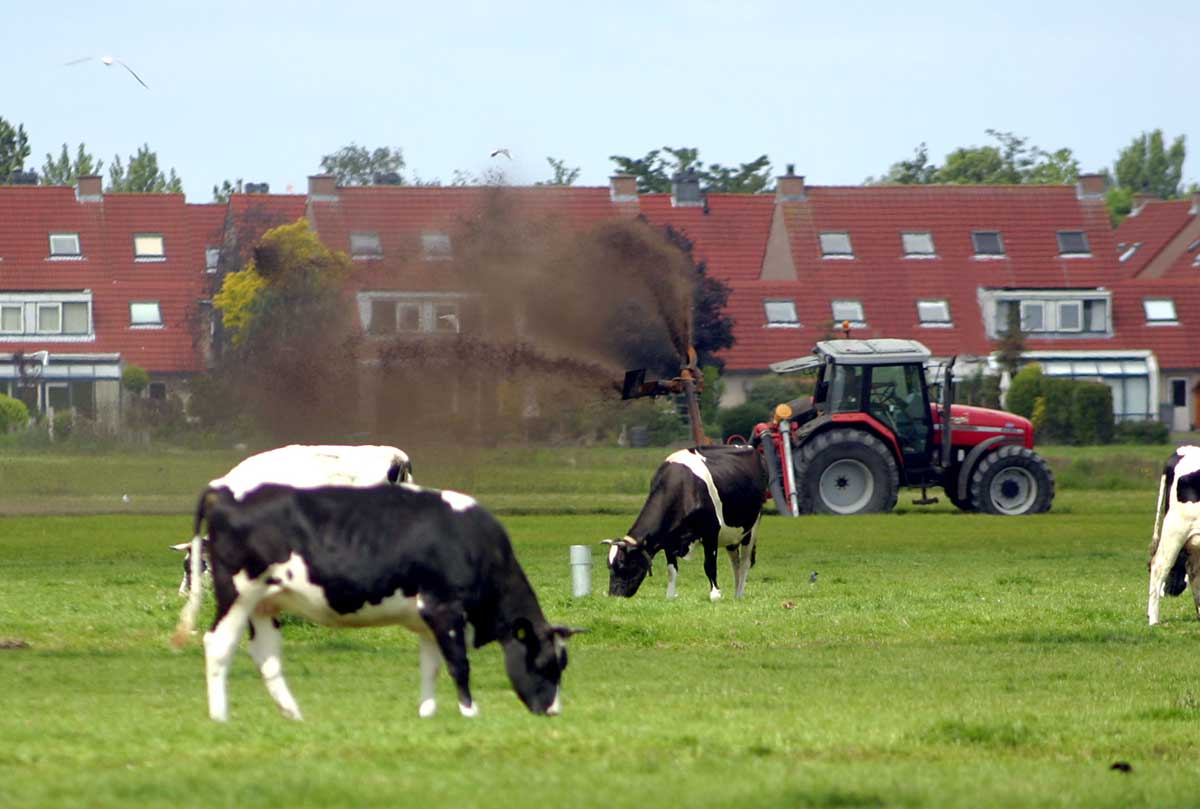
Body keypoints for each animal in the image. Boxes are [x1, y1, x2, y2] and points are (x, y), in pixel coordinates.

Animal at [171, 480, 578, 720]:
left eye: (563, 664)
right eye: (544, 663)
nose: (553, 710)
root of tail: (225, 491)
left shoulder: (427, 619)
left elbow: (431, 666)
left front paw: (428, 713)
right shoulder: (444, 608)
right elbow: (458, 663)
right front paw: (470, 711)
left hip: (265, 603)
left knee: (266, 655)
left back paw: (294, 715)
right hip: (238, 594)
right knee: (218, 645)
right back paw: (220, 717)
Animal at [600, 441, 768, 597]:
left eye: (623, 564)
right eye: (609, 566)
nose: (614, 595)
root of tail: (749, 447)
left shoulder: (711, 532)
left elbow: (709, 565)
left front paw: (715, 594)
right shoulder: (668, 539)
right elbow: (671, 570)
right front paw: (670, 596)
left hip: (752, 526)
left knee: (745, 561)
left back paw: (739, 594)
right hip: (732, 534)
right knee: (735, 563)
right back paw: (736, 594)